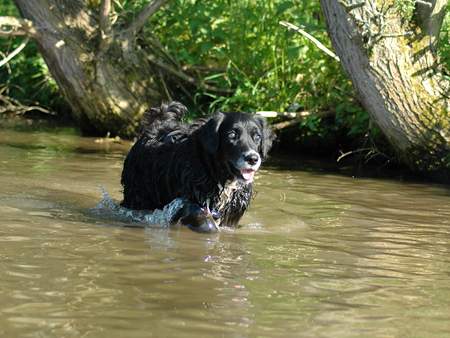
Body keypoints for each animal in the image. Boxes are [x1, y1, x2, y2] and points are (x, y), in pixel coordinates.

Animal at [120, 101, 274, 231]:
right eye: (232, 135)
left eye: (257, 136)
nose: (253, 158)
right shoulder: (189, 200)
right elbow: (201, 216)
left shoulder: (231, 215)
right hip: (138, 196)